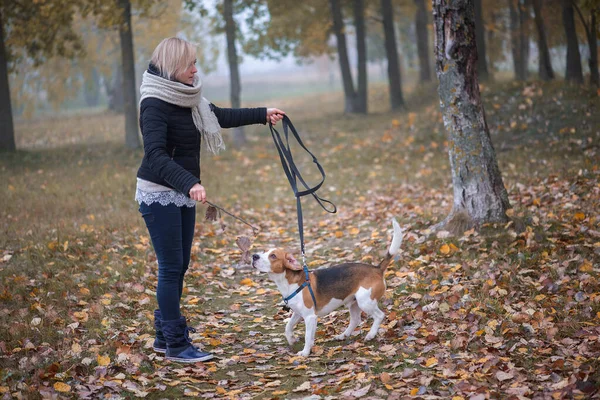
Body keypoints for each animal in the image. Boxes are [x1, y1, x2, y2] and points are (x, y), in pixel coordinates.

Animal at [250, 219, 404, 356]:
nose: (254, 256)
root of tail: (377, 269)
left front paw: (305, 353)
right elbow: (288, 327)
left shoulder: (310, 317)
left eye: (273, 256)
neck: (288, 282)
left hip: (365, 301)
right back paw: (343, 335)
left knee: (379, 315)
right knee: (355, 320)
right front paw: (292, 339)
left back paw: (371, 335)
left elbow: (307, 336)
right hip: (353, 302)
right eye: (264, 251)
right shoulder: (298, 313)